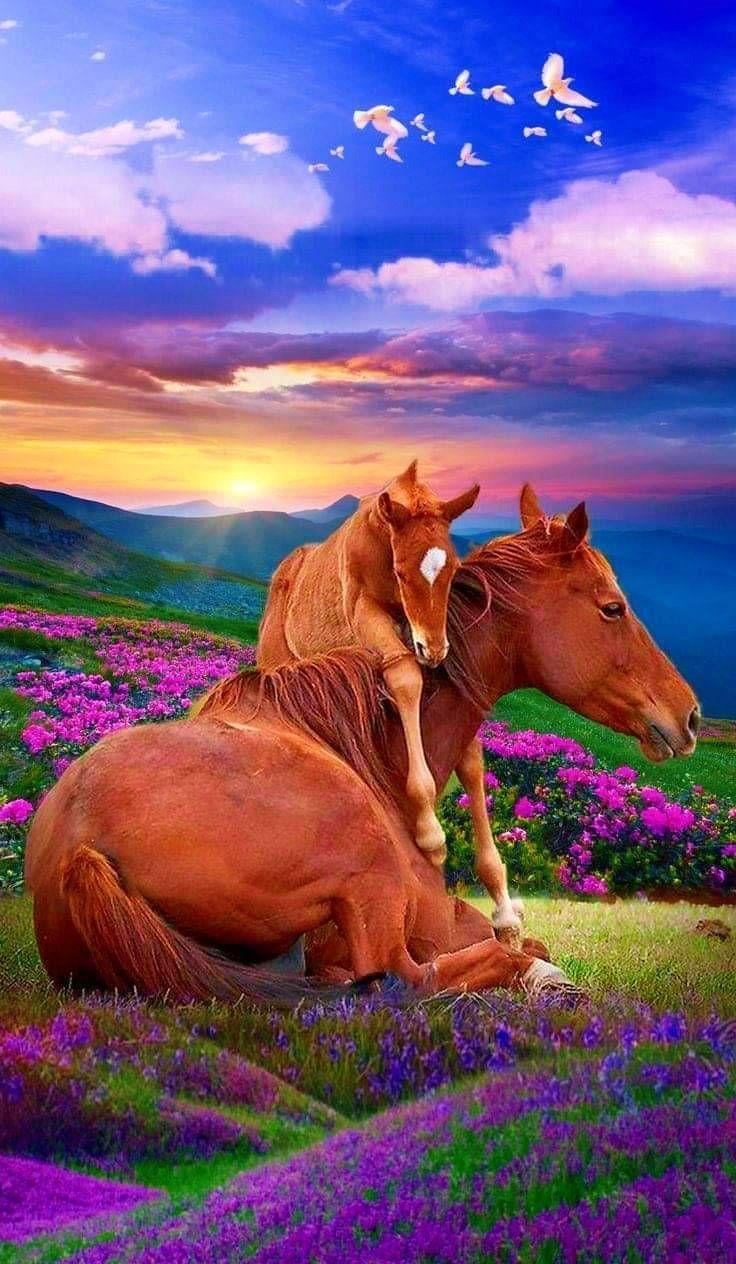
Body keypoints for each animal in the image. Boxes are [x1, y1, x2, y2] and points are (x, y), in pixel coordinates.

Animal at [258, 460, 479, 864]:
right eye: (401, 572)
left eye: (454, 569)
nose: (434, 649)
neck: (381, 538)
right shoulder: (365, 613)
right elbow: (405, 677)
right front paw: (429, 831)